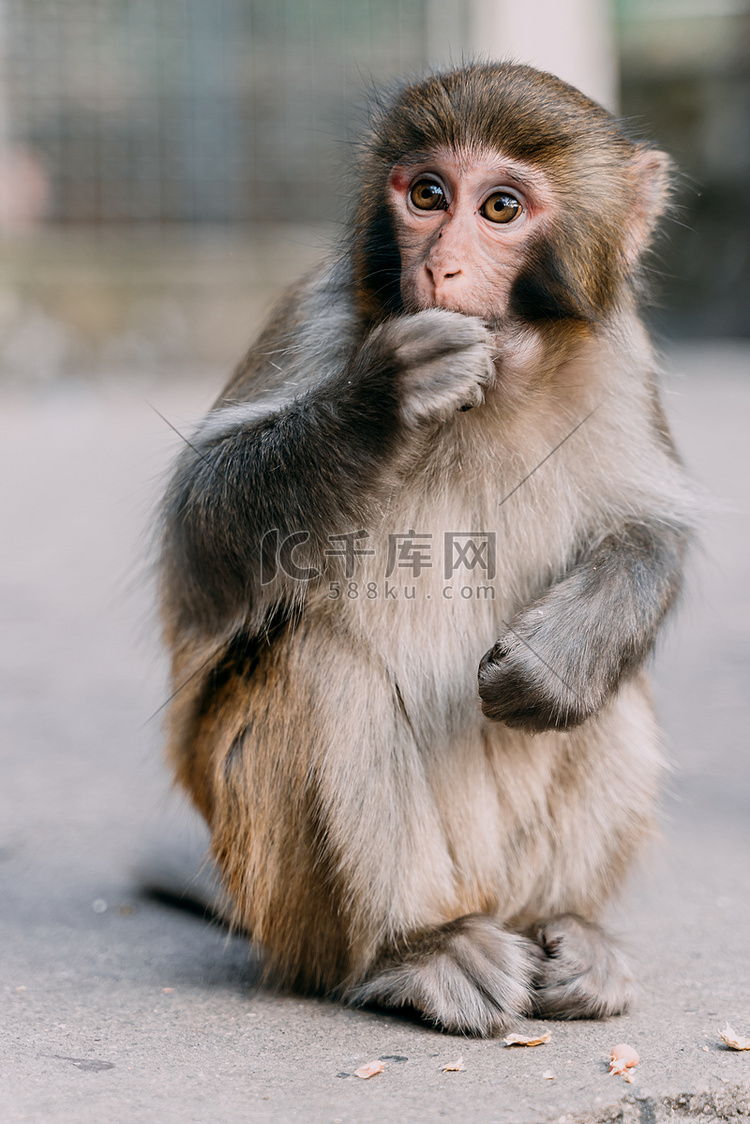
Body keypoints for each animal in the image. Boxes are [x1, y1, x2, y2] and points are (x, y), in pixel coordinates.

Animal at [157, 61, 692, 1034]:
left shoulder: (621, 357)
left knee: (613, 696)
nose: (439, 264)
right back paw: (413, 949)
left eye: (501, 208)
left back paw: (568, 931)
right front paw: (386, 397)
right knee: (321, 666)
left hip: (507, 869)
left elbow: (649, 528)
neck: (503, 380)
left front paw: (558, 660)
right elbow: (200, 533)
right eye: (428, 195)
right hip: (281, 892)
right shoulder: (321, 315)